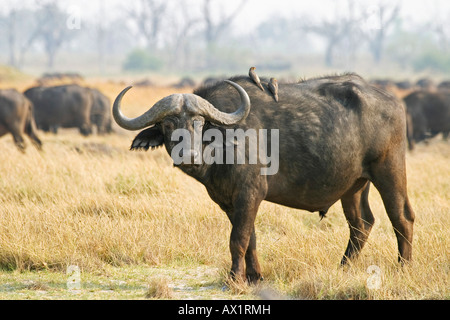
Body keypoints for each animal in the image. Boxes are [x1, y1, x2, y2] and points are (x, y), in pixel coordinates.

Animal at [111, 72, 414, 282]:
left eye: (198, 123)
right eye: (167, 124)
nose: (189, 154)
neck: (221, 145)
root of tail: (393, 102)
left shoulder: (250, 193)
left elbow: (238, 238)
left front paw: (235, 278)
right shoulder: (230, 202)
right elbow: (250, 238)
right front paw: (255, 276)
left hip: (389, 170)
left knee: (401, 217)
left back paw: (403, 267)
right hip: (354, 186)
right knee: (361, 224)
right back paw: (342, 268)